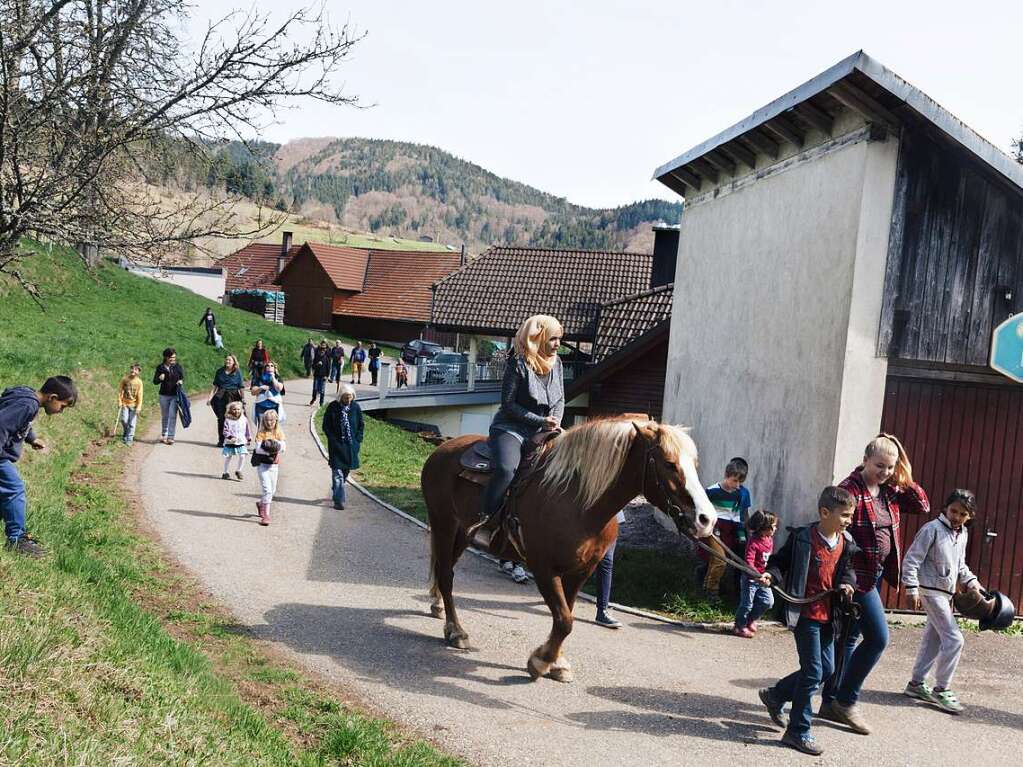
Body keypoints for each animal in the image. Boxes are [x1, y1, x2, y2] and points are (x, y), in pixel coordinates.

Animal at [419, 417, 716, 683]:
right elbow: (564, 620)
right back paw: (456, 632)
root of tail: (442, 449)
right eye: (669, 463)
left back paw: (438, 607)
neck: (579, 502)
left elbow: (566, 615)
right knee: (446, 575)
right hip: (444, 525)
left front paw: (557, 662)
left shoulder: (580, 571)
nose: (706, 519)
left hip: (462, 533)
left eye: (695, 464)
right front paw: (540, 661)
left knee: (445, 570)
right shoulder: (544, 569)